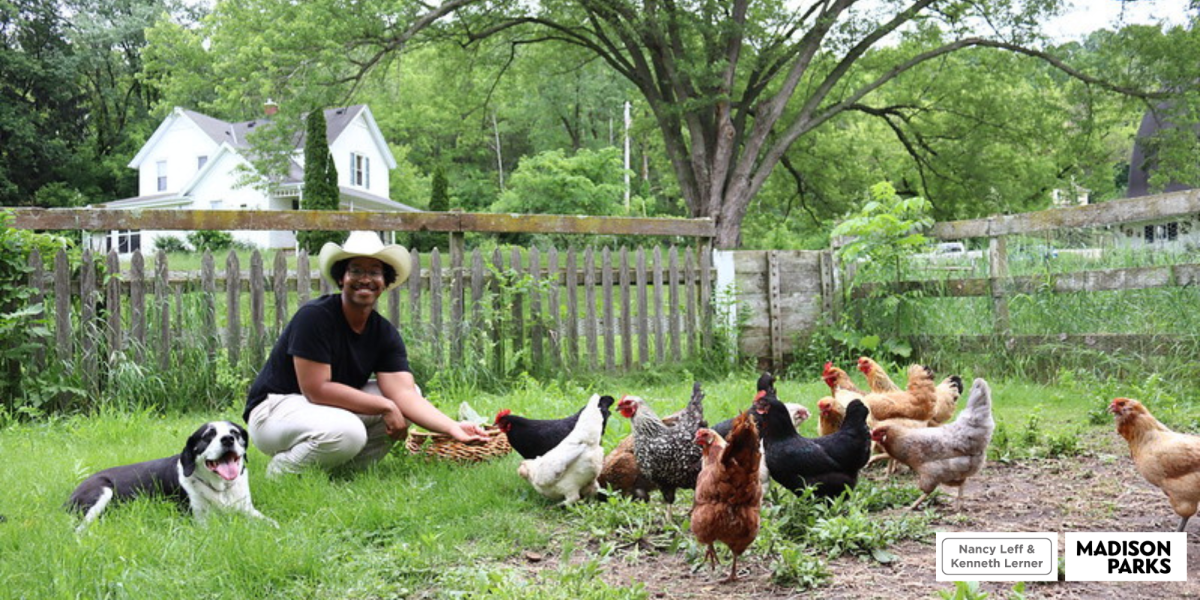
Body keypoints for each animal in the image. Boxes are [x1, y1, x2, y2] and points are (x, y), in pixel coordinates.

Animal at [66, 420, 274, 532]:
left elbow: (270, 522)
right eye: (208, 435)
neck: (221, 489)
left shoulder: (247, 509)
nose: (228, 439)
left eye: (235, 433)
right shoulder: (200, 520)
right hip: (103, 490)